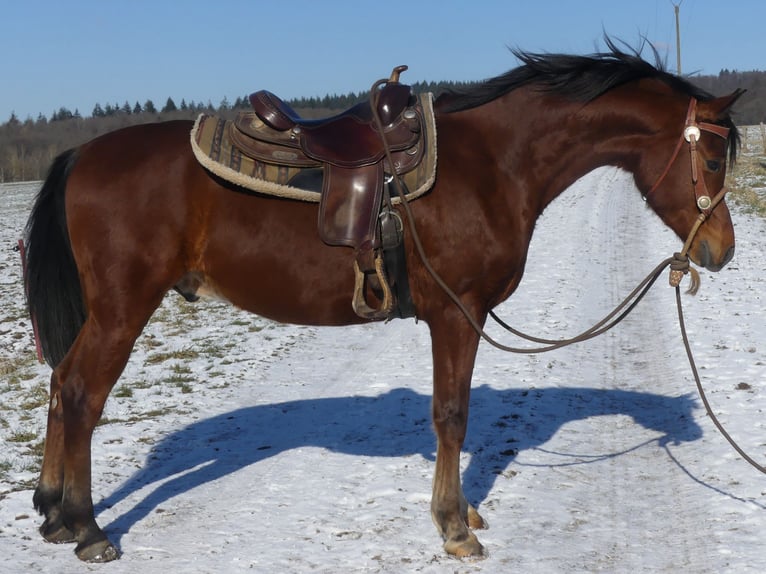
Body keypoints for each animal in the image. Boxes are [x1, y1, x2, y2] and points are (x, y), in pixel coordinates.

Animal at [22, 42, 744, 564]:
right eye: (711, 159)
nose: (721, 251)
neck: (494, 163)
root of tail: (83, 152)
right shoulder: (457, 313)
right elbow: (451, 415)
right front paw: (454, 526)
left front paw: (463, 511)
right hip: (123, 308)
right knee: (80, 394)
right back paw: (87, 528)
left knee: (60, 386)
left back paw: (54, 511)